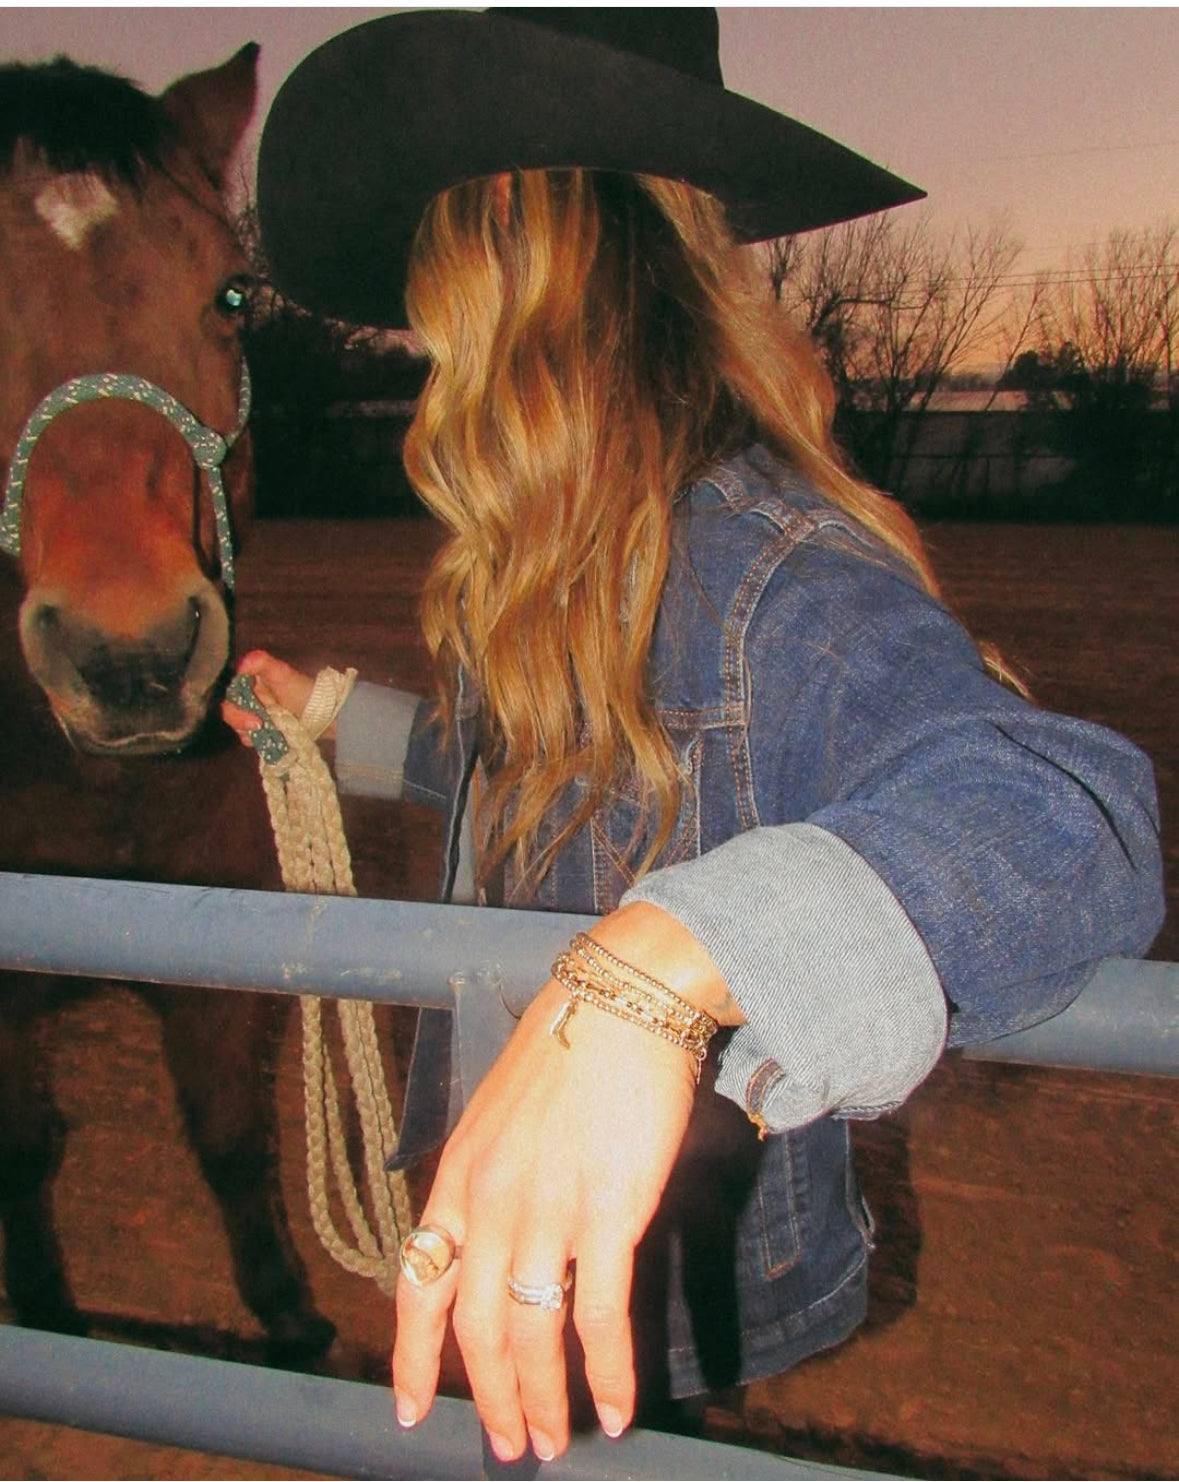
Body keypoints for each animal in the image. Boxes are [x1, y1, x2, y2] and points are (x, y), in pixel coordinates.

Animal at [1, 49, 331, 1363]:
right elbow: (22, 1152)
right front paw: (47, 1319)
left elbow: (232, 1143)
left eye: (233, 293)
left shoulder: (215, 986)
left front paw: (291, 1325)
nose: (130, 655)